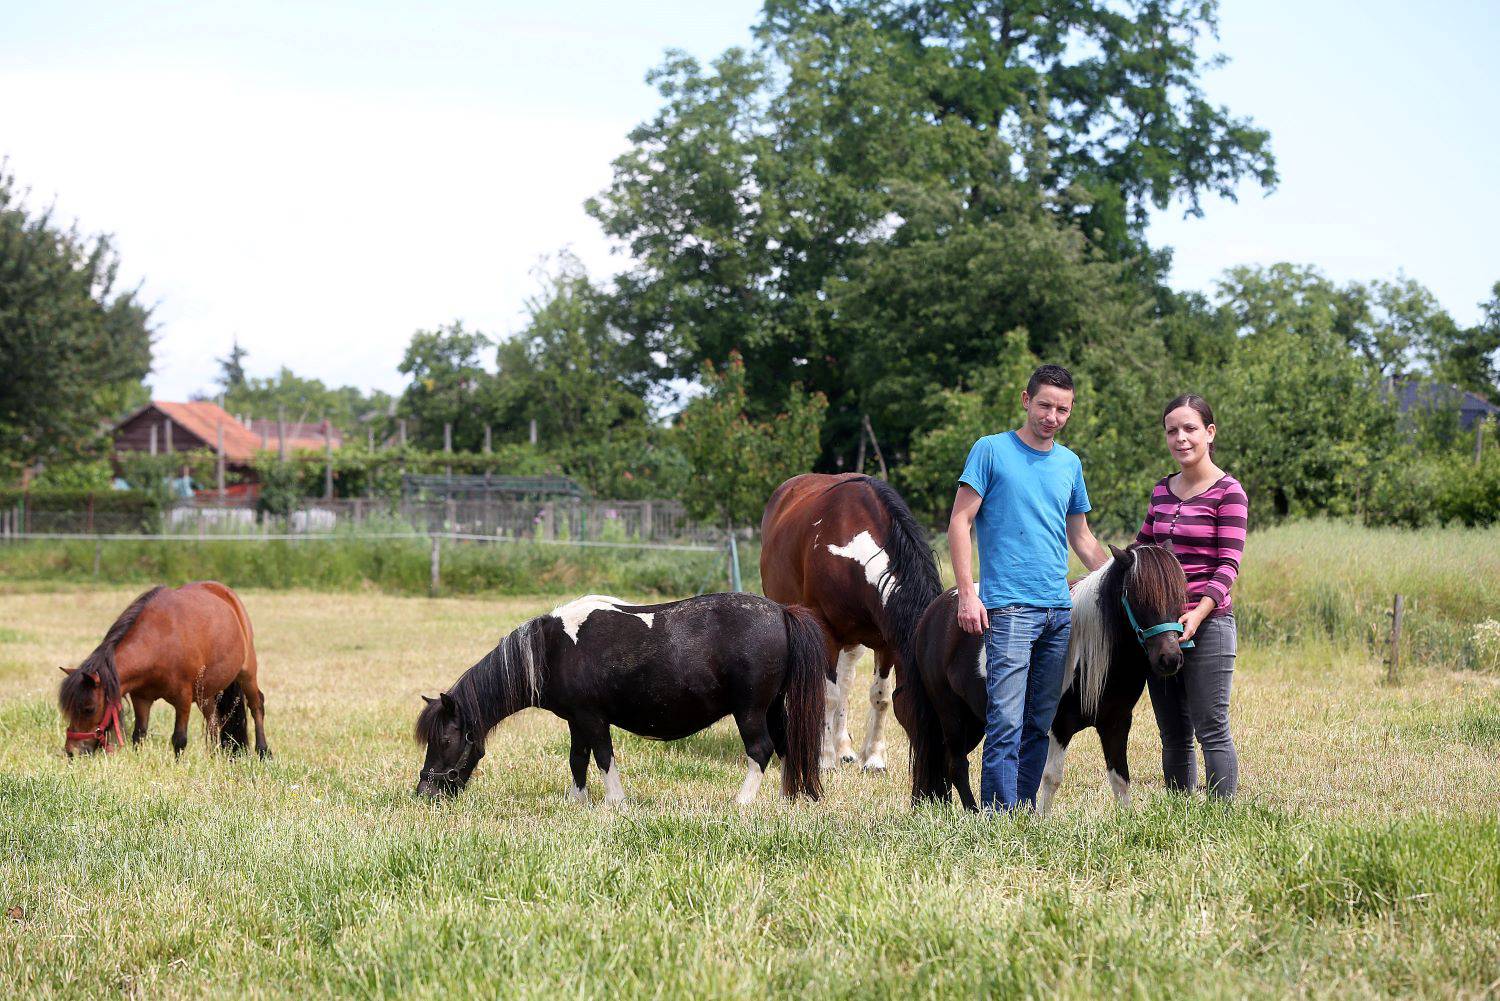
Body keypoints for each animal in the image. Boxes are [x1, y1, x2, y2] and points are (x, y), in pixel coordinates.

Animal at [56, 582, 270, 756]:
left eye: (89, 709)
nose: (71, 751)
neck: (159, 643)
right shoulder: (141, 698)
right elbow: (139, 735)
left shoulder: (183, 699)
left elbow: (179, 739)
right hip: (206, 692)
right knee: (213, 721)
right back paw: (215, 756)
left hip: (247, 673)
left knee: (256, 705)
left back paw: (263, 752)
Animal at [414, 594, 834, 804]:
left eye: (446, 739)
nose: (424, 793)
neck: (553, 649)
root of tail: (781, 612)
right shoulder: (576, 720)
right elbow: (578, 759)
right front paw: (577, 802)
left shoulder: (592, 718)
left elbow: (603, 757)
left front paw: (615, 802)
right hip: (774, 708)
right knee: (787, 748)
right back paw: (787, 800)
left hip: (750, 711)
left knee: (761, 750)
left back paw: (742, 804)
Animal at [762, 474, 936, 774]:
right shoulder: (826, 633)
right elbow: (827, 696)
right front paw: (824, 760)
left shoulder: (886, 643)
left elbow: (880, 697)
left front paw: (874, 759)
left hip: (853, 644)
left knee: (845, 681)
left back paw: (844, 750)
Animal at [894, 549, 1188, 816]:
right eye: (1138, 597)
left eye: (1180, 595)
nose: (1170, 659)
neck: (1087, 653)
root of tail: (933, 613)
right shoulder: (1059, 725)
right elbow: (1051, 777)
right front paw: (1042, 821)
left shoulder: (1116, 722)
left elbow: (1120, 778)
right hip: (950, 714)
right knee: (957, 765)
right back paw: (974, 814)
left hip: (973, 721)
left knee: (945, 763)